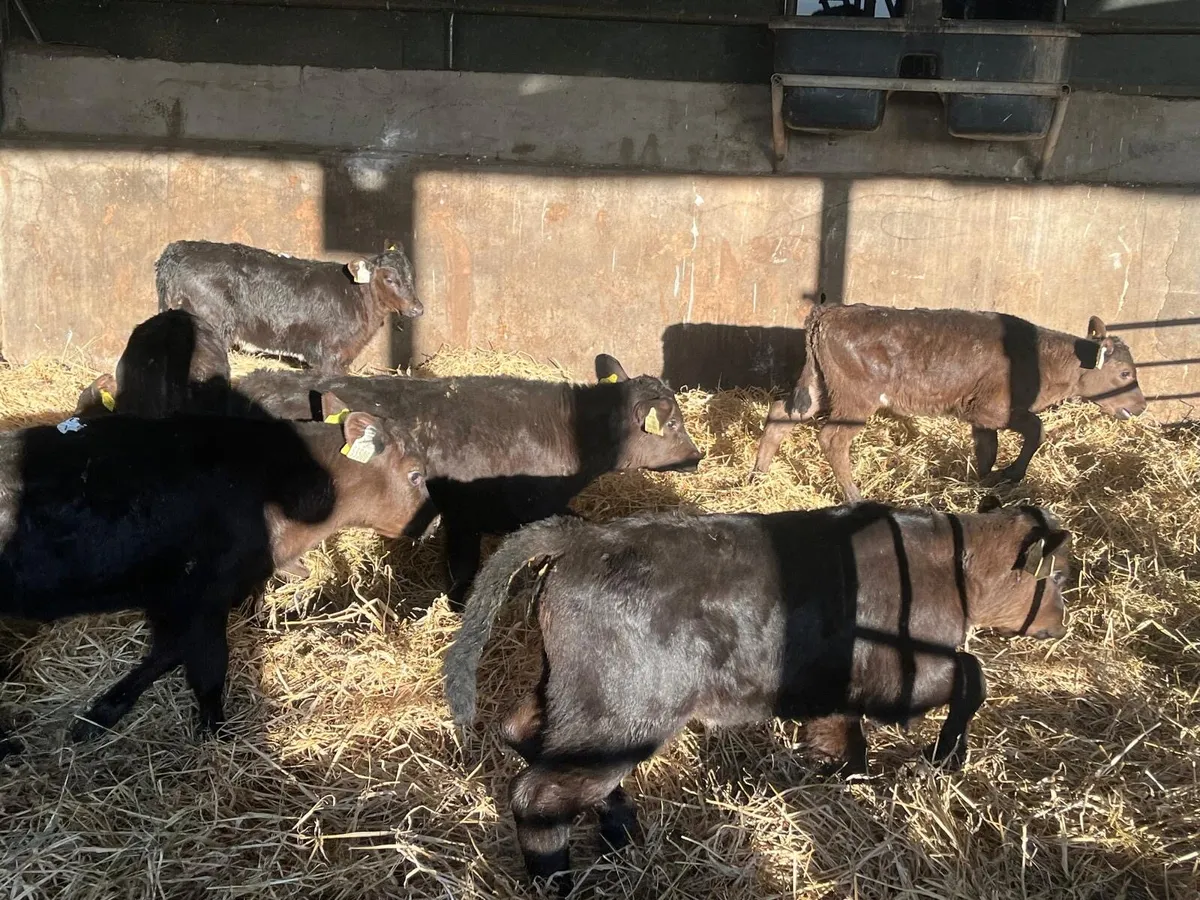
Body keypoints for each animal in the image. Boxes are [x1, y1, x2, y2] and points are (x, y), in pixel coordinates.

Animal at [0, 393, 428, 757]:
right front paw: (216, 734)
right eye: (416, 476)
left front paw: (101, 713)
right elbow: (209, 666)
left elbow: (169, 651)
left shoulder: (180, 596)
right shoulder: (207, 593)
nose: (433, 521)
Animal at [443, 498, 1073, 890]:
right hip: (622, 713)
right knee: (539, 794)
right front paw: (945, 755)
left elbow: (841, 725)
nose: (1060, 623)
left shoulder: (838, 682)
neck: (951, 565)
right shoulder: (902, 678)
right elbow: (972, 674)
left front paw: (837, 767)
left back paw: (621, 831)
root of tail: (586, 536)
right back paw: (560, 878)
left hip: (575, 698)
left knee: (521, 732)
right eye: (1061, 576)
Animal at [752, 304, 1147, 501]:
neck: (1041, 361)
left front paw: (983, 483)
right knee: (832, 439)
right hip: (856, 397)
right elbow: (1037, 429)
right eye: (1125, 372)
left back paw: (758, 475)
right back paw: (854, 496)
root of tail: (828, 313)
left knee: (780, 414)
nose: (1142, 406)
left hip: (818, 386)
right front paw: (1011, 474)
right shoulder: (991, 409)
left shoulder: (981, 417)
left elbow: (987, 448)